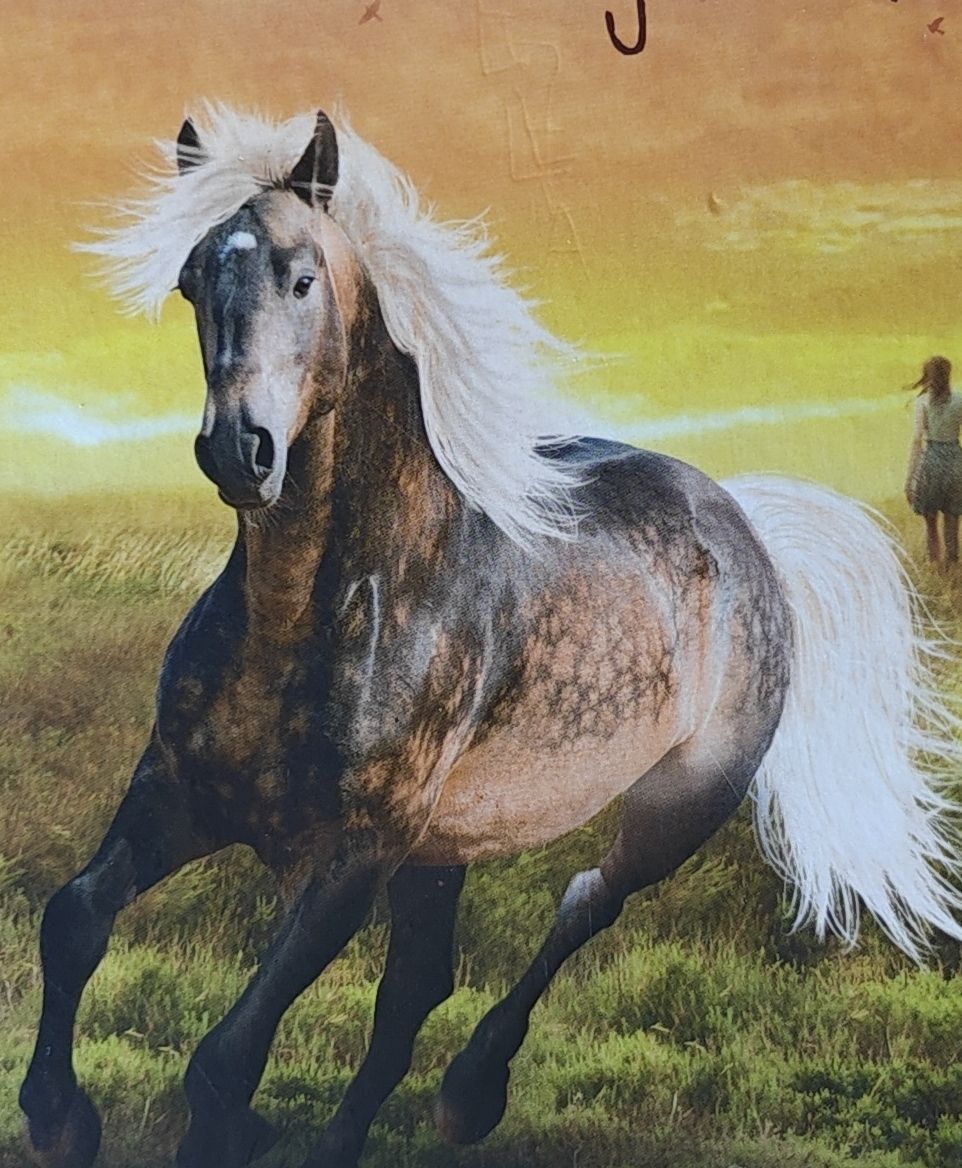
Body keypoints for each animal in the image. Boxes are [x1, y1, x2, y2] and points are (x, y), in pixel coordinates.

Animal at [20, 104, 962, 1168]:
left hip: (679, 804)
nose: (239, 450)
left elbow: (226, 1058)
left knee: (586, 899)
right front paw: (57, 1115)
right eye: (190, 282)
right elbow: (73, 919)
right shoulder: (179, 792)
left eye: (302, 277)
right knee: (413, 993)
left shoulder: (354, 855)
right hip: (444, 848)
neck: (316, 613)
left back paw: (470, 1094)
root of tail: (745, 523)